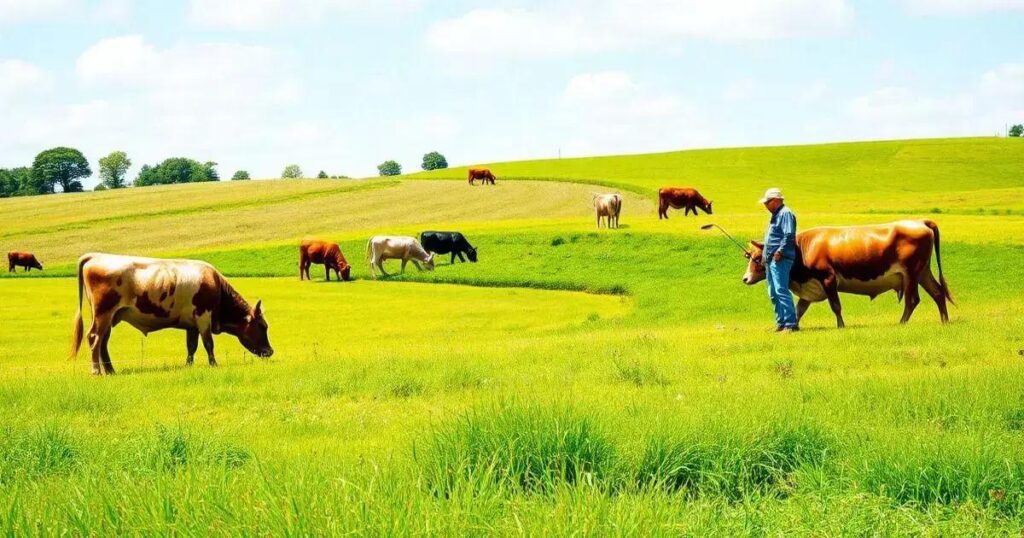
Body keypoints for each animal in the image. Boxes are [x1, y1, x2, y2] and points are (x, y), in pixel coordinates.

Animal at [70, 254, 274, 375]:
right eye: (263, 326)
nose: (270, 351)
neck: (216, 285)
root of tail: (96, 256)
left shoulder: (192, 324)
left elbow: (191, 346)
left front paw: (188, 365)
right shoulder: (203, 317)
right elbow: (208, 343)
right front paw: (213, 364)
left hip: (109, 316)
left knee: (103, 342)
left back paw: (111, 370)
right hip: (103, 313)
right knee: (95, 338)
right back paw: (96, 371)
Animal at [741, 219, 954, 327]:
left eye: (757, 257)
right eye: (749, 256)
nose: (745, 278)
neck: (802, 248)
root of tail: (920, 222)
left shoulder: (828, 279)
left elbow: (835, 306)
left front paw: (841, 326)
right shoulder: (809, 288)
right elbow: (799, 309)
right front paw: (791, 327)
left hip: (911, 274)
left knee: (912, 300)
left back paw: (901, 323)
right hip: (923, 272)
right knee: (937, 293)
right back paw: (944, 321)